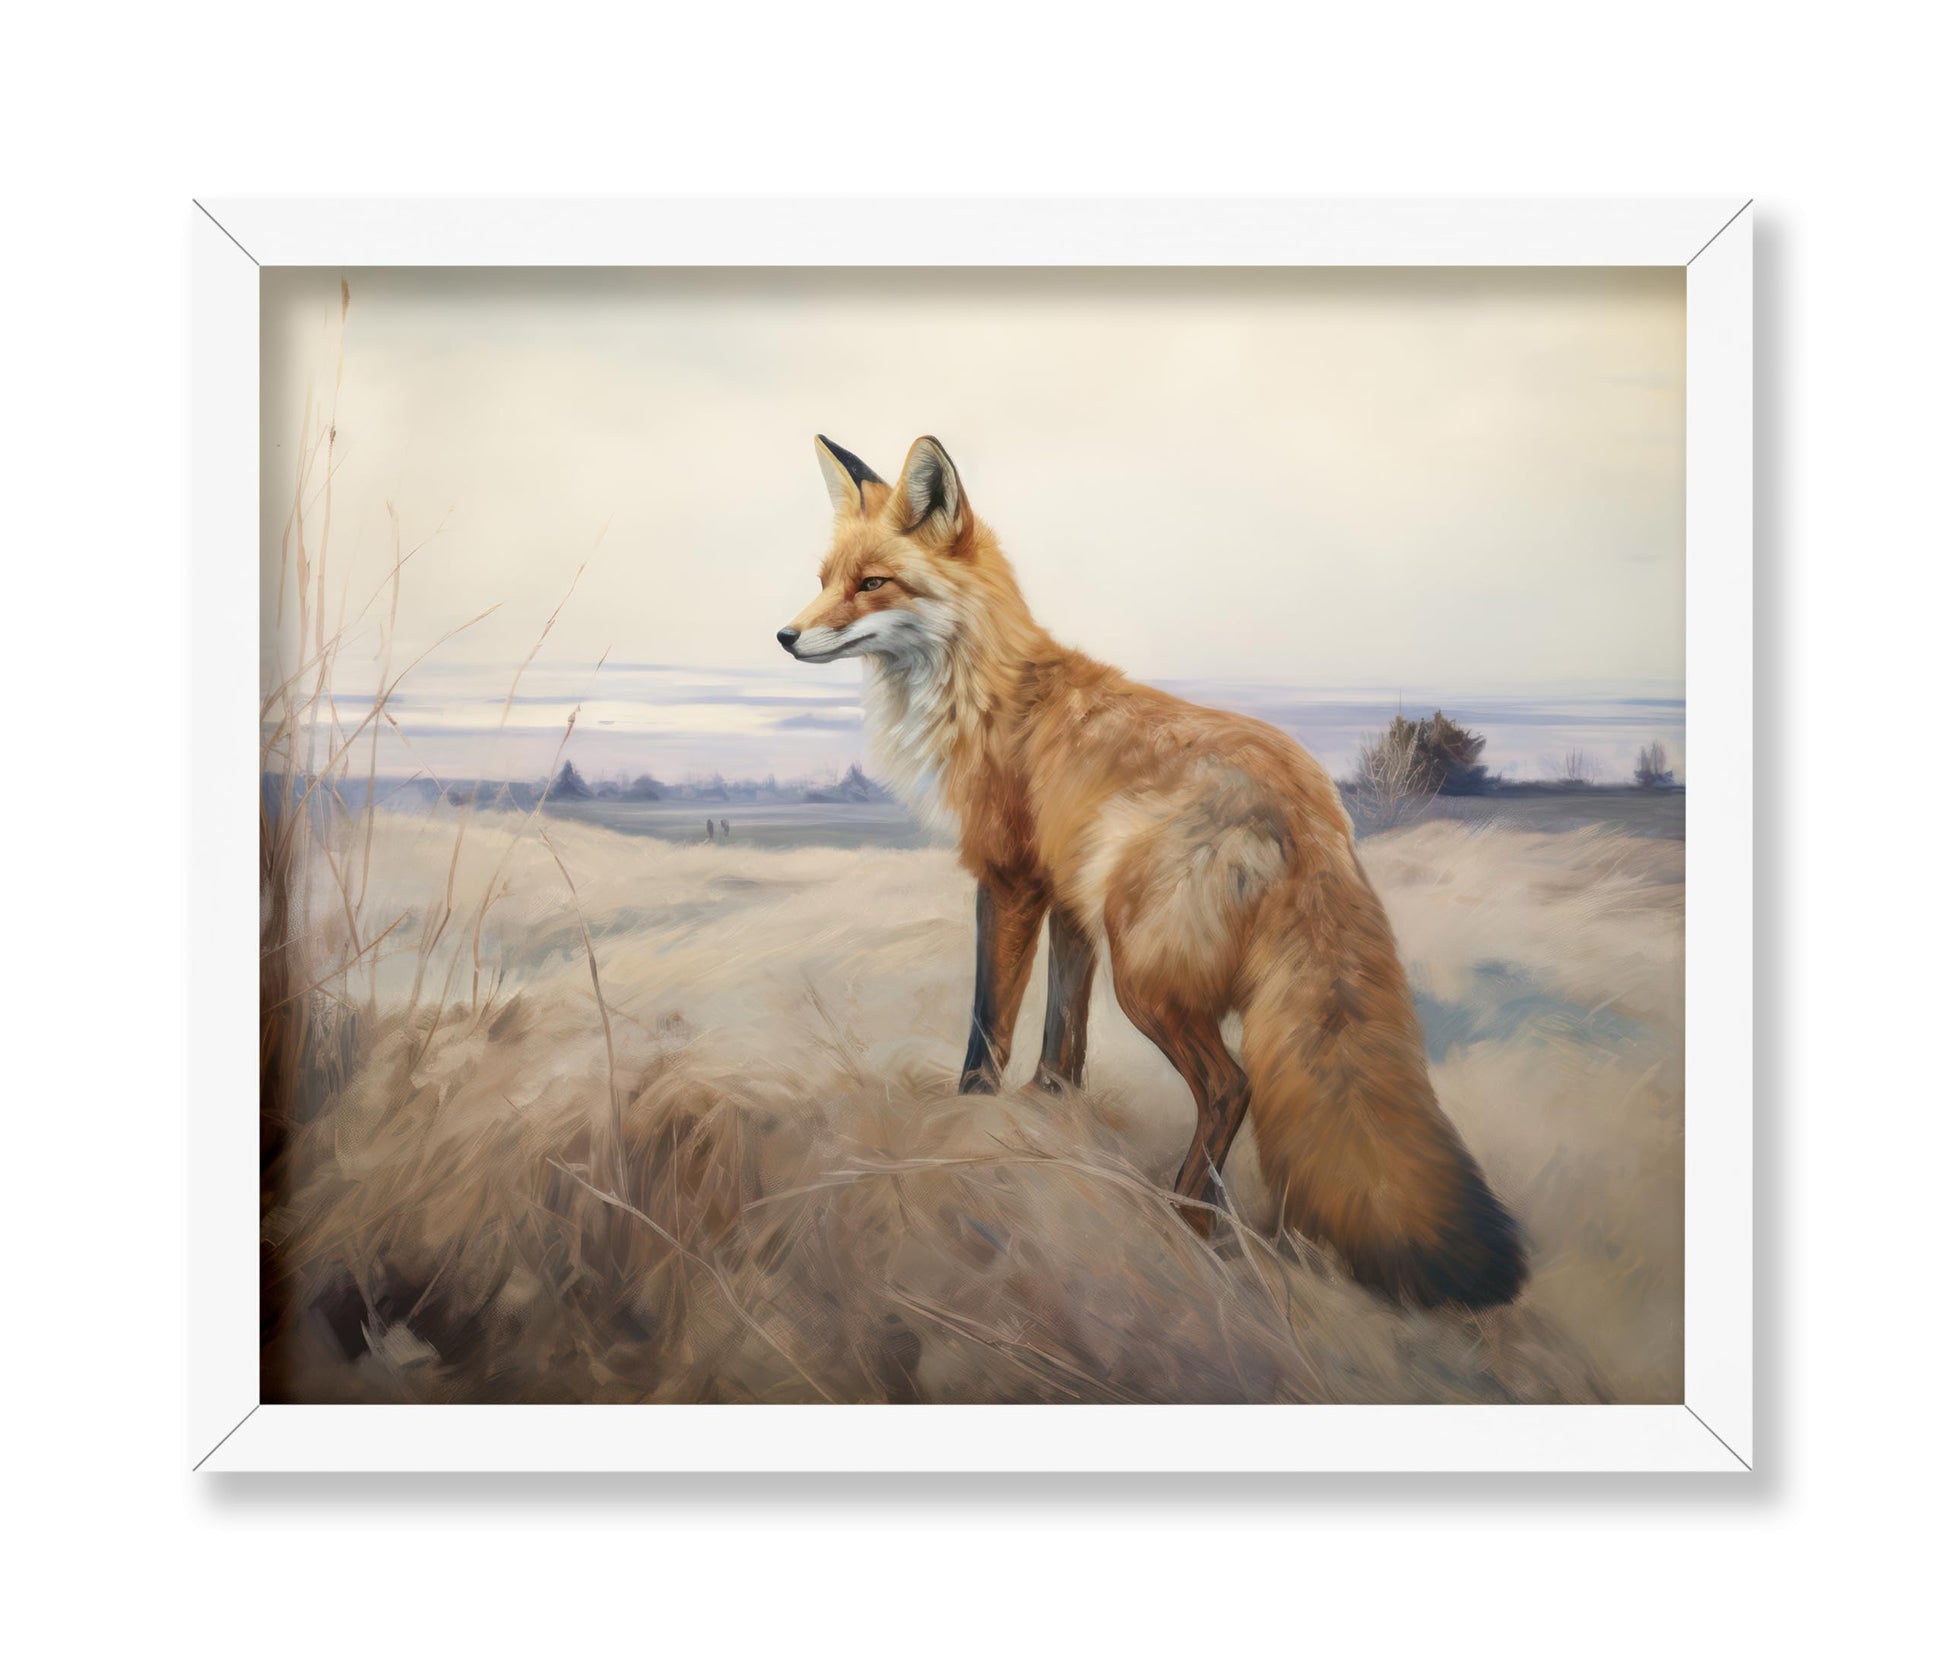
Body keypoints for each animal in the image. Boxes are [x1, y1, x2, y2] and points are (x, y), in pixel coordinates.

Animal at [778, 435, 1527, 1309]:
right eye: (823, 580)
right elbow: (1063, 1031)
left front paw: (966, 1127)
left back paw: (1187, 1225)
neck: (987, 692)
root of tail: (1315, 808)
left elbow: (988, 1025)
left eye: (873, 584)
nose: (784, 637)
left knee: (1232, 1086)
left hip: (1147, 973)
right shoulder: (1068, 901)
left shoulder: (1009, 881)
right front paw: (1048, 1113)